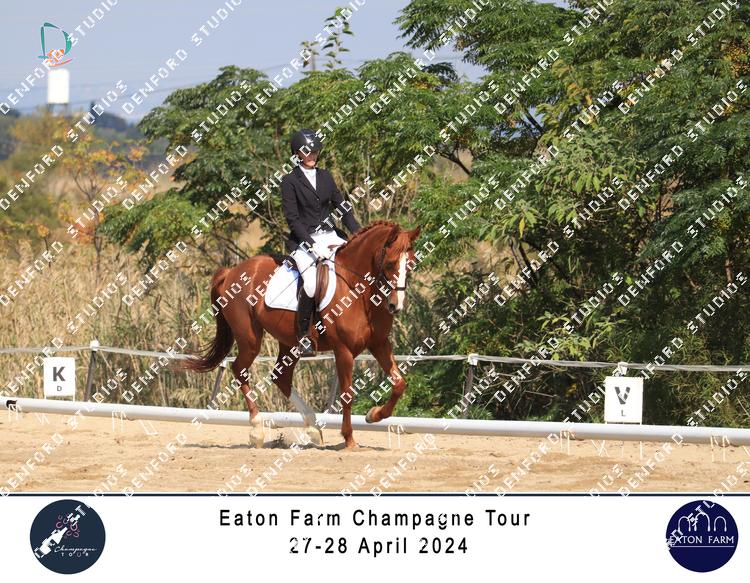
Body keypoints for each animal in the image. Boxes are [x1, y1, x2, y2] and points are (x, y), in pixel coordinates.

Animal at [183, 220, 421, 449]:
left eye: (410, 264)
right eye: (390, 263)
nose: (396, 306)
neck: (359, 290)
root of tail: (230, 272)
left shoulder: (379, 343)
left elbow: (399, 383)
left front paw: (374, 415)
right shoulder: (343, 350)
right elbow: (347, 394)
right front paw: (349, 439)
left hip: (289, 342)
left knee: (280, 376)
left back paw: (313, 428)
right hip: (250, 338)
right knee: (240, 369)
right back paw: (257, 430)